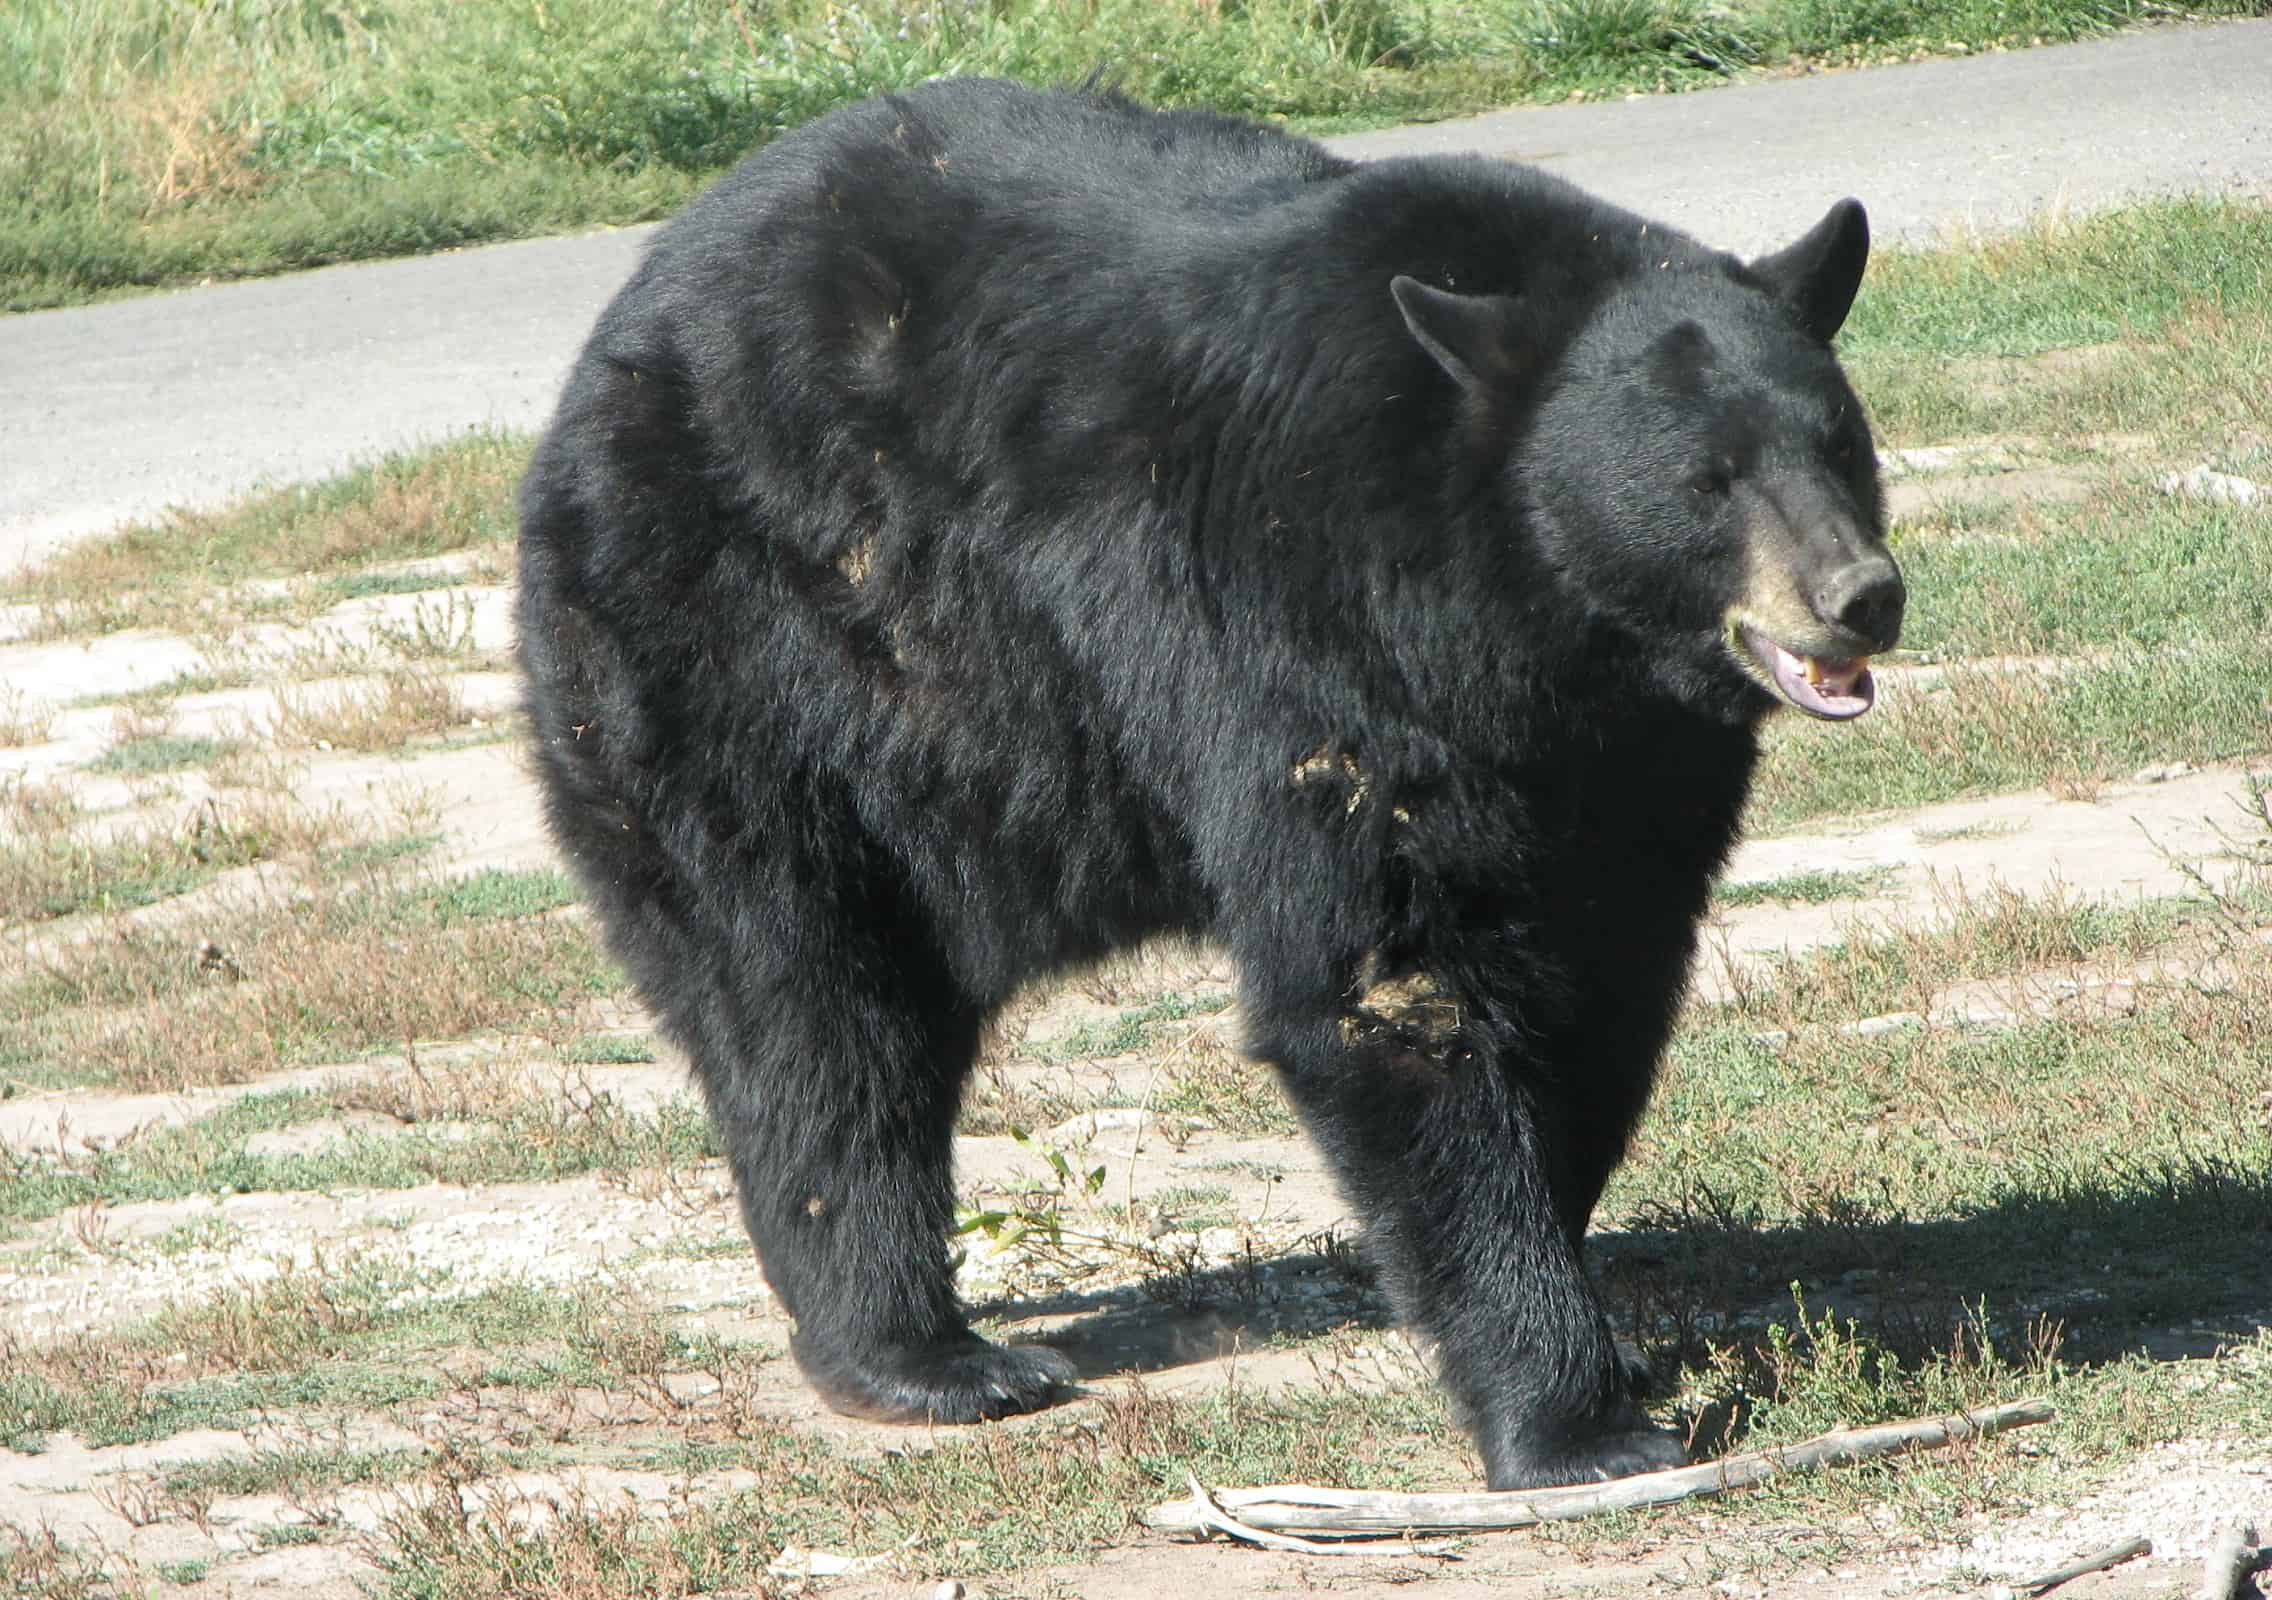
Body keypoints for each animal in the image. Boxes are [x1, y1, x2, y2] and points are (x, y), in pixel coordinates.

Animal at [515, 77, 1904, 1489]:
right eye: (1705, 480)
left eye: (1840, 439)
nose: (1860, 595)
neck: (1526, 617)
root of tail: (618, 329)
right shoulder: (1308, 630)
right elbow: (1387, 983)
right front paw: (1572, 1418)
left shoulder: (1626, 760)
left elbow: (1606, 974)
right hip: (745, 659)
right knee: (814, 1010)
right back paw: (925, 1355)